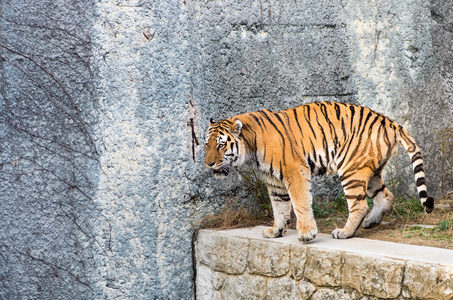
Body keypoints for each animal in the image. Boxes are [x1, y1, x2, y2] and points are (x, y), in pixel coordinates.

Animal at [203, 101, 432, 241]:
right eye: (206, 145)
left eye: (221, 145)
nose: (208, 164)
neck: (250, 148)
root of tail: (390, 122)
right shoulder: (274, 182)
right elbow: (279, 207)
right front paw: (276, 230)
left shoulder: (295, 171)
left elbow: (300, 203)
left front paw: (306, 233)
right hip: (369, 170)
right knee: (386, 196)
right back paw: (370, 222)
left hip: (351, 169)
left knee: (359, 206)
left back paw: (345, 232)